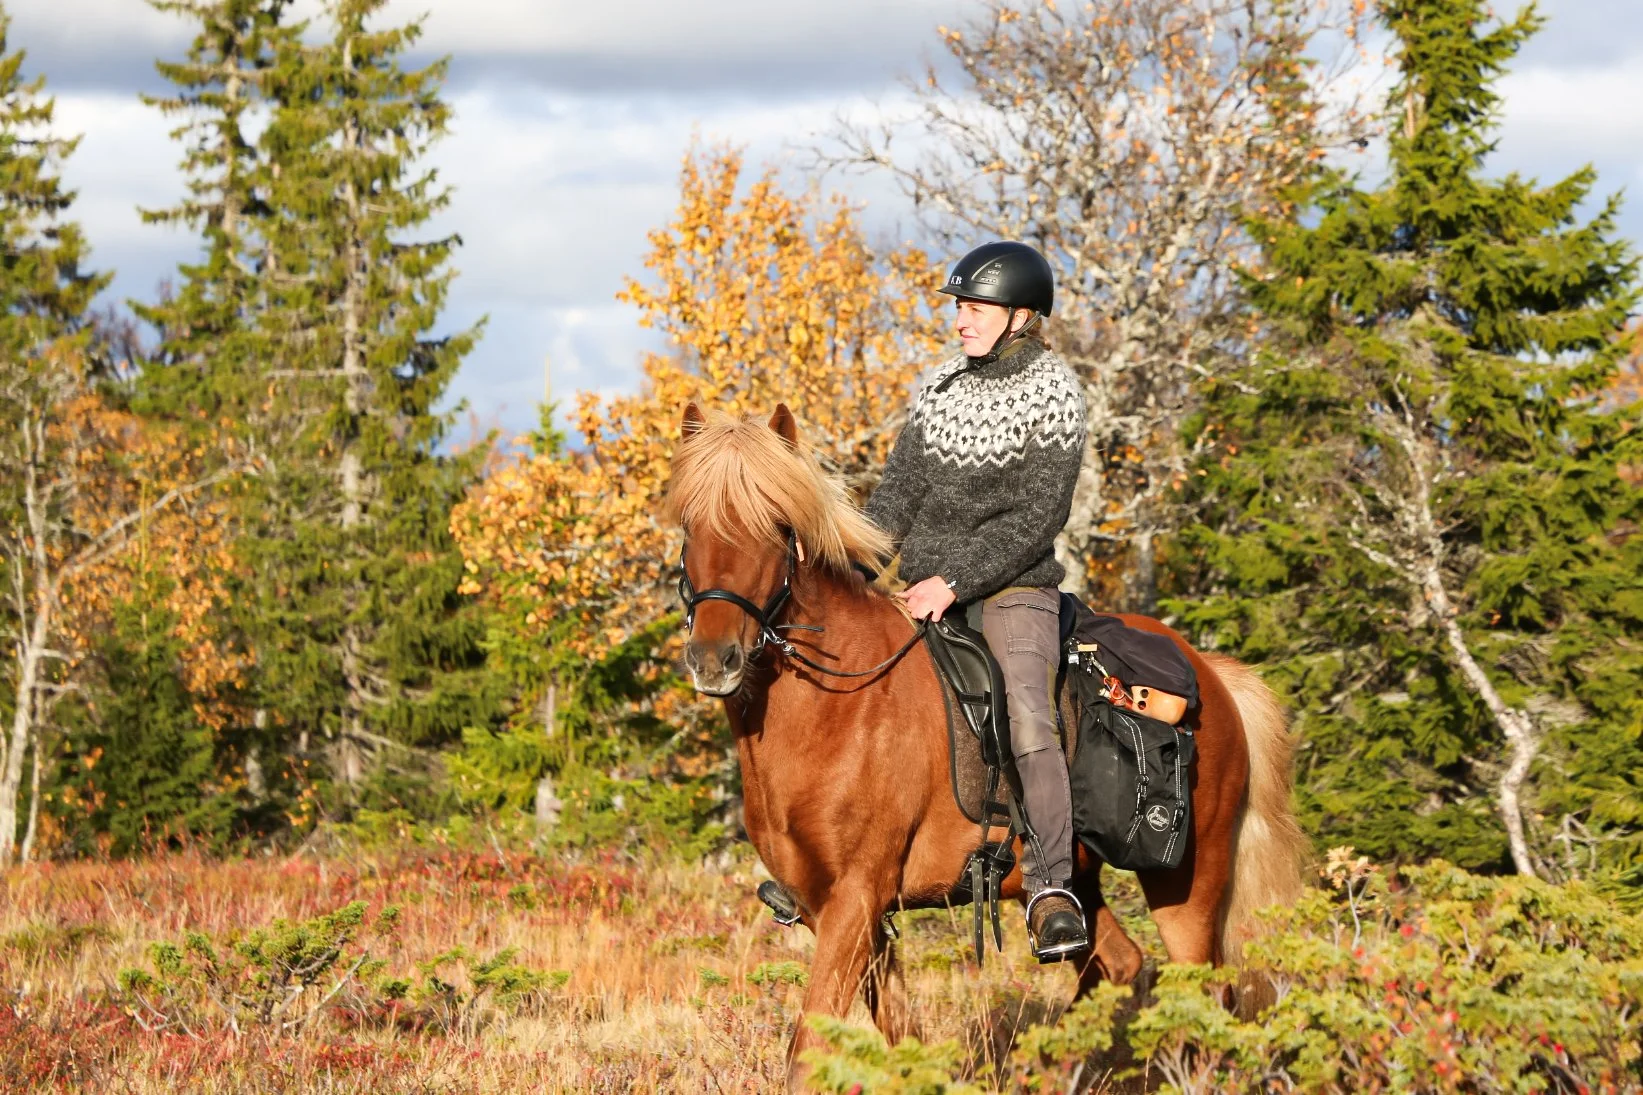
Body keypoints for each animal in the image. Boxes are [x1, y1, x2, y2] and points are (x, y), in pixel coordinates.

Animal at [666, 402, 1308, 1088]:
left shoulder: (855, 896)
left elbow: (809, 1048)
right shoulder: (832, 909)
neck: (837, 707)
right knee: (1117, 965)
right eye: (690, 524)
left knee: (1204, 996)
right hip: (1066, 881)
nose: (715, 658)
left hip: (1188, 881)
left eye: (778, 526)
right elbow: (900, 1034)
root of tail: (1212, 674)